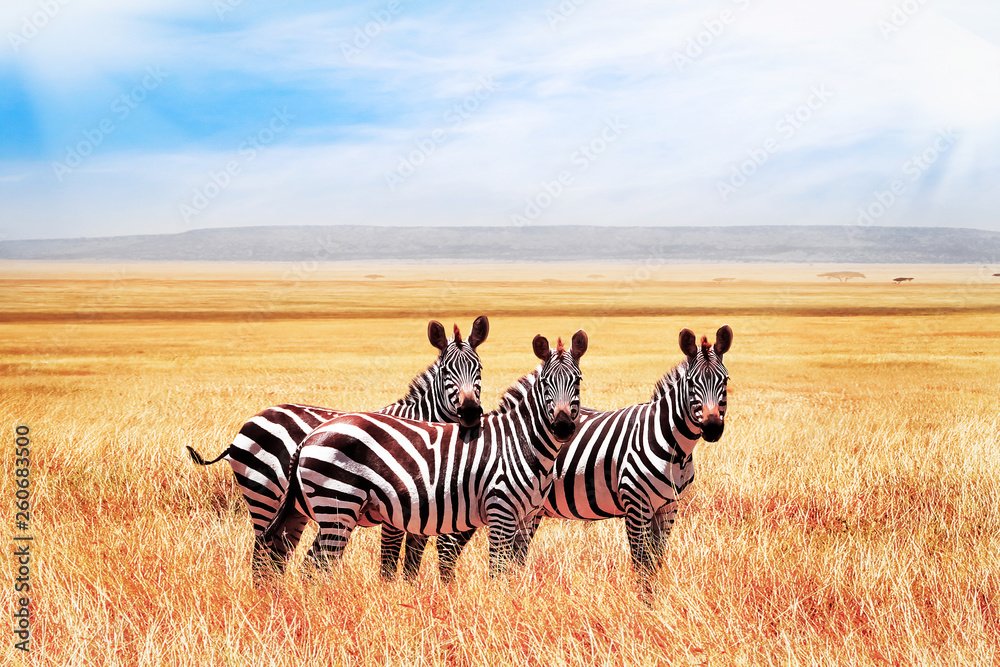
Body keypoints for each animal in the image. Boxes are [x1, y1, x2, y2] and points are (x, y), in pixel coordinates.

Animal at [186, 316, 490, 572]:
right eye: (446, 371)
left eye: (479, 369)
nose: (470, 412)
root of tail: (251, 421)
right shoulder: (397, 507)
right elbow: (391, 560)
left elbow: (412, 562)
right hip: (264, 497)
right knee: (261, 557)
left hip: (292, 508)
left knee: (276, 557)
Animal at [266, 332, 588, 576]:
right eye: (546, 383)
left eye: (578, 380)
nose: (562, 427)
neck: (520, 442)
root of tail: (310, 436)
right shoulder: (501, 511)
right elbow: (497, 570)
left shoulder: (525, 517)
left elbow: (513, 570)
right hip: (338, 505)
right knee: (318, 563)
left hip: (322, 509)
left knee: (306, 561)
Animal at [416, 324, 736, 596]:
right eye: (692, 383)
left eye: (725, 380)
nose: (712, 428)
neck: (673, 445)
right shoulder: (636, 503)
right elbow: (641, 561)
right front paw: (645, 606)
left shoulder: (668, 507)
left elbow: (655, 561)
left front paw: (654, 602)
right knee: (447, 544)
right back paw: (448, 595)